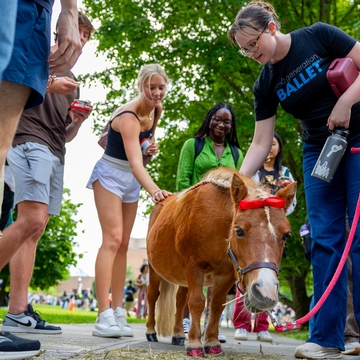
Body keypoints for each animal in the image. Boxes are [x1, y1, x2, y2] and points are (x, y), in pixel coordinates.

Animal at [145, 169, 296, 358]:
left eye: (286, 235)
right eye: (239, 231)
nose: (265, 292)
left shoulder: (228, 274)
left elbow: (216, 306)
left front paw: (212, 342)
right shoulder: (194, 267)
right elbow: (197, 302)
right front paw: (195, 344)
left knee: (180, 300)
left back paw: (178, 334)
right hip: (154, 269)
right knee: (153, 295)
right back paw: (151, 331)